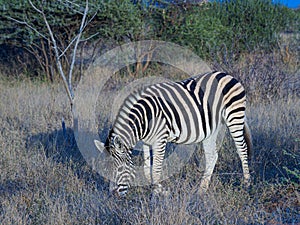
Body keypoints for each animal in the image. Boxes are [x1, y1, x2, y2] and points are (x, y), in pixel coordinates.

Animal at [95, 71, 252, 196]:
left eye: (119, 168)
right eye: (106, 169)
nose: (113, 195)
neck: (145, 117)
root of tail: (226, 74)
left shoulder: (160, 140)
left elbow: (155, 169)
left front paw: (157, 195)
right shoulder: (146, 141)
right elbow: (146, 169)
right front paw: (158, 189)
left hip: (235, 116)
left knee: (242, 149)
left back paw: (246, 184)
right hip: (211, 129)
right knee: (212, 156)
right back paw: (201, 190)